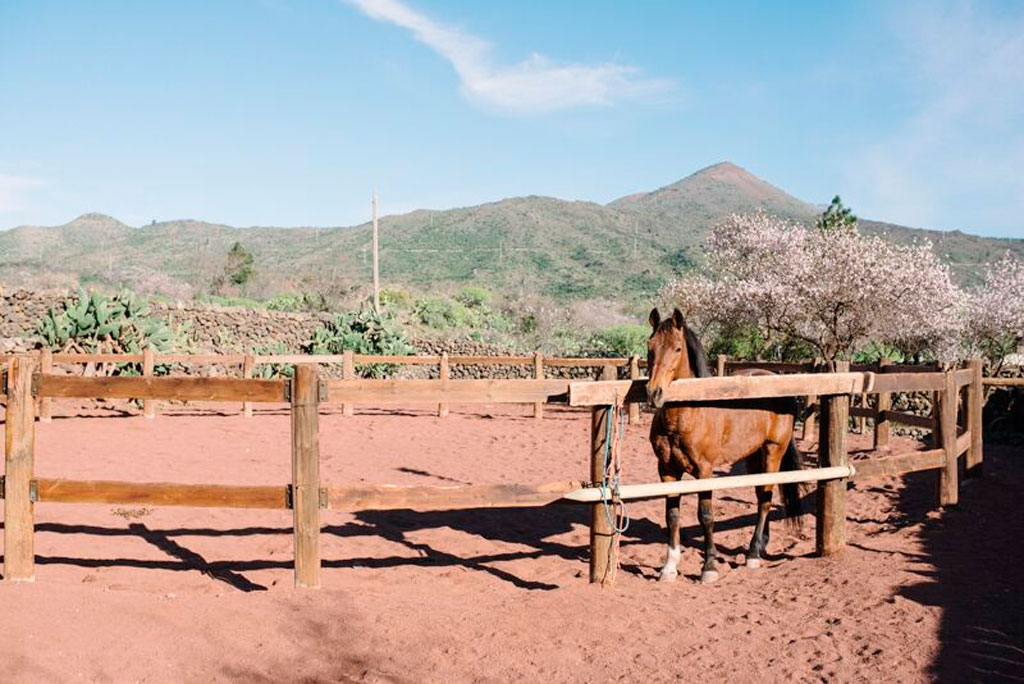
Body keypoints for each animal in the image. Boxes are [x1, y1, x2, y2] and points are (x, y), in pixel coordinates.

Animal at [646, 307, 803, 584]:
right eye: (650, 347)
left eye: (677, 348)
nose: (654, 393)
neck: (689, 414)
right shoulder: (667, 470)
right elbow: (672, 516)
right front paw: (669, 567)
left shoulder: (704, 472)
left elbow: (706, 516)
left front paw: (709, 567)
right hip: (753, 456)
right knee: (761, 495)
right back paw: (760, 545)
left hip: (773, 452)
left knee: (765, 500)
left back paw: (753, 554)